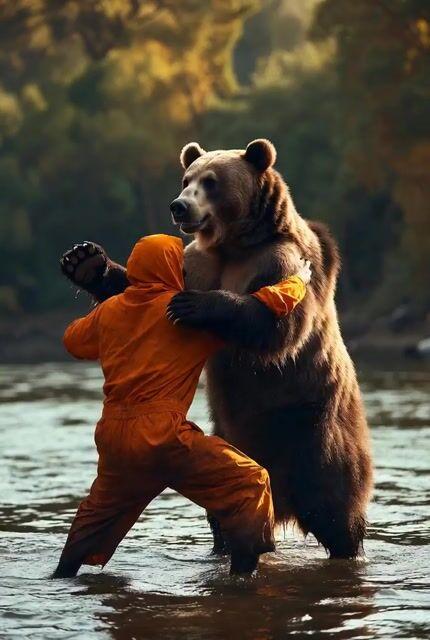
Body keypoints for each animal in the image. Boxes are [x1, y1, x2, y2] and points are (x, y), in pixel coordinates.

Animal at [61, 139, 373, 559]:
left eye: (210, 182)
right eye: (186, 179)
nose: (179, 206)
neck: (234, 243)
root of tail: (285, 508)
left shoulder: (279, 258)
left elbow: (278, 326)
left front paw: (195, 305)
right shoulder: (198, 261)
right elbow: (143, 287)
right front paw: (86, 261)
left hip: (315, 431)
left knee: (335, 506)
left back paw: (346, 542)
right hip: (231, 437)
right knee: (225, 514)